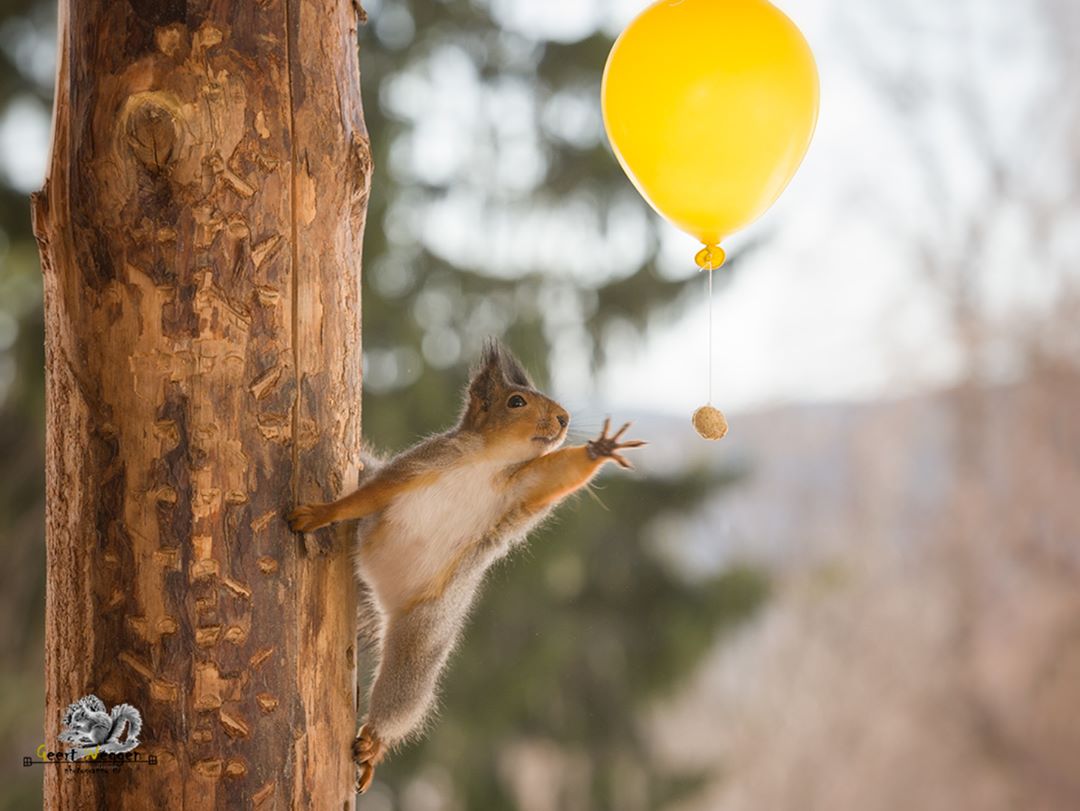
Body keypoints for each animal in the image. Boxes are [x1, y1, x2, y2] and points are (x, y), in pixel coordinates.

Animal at [282, 341, 643, 794]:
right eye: (517, 401)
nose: (564, 418)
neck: (488, 461)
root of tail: (379, 588)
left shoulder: (525, 484)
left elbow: (559, 471)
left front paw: (601, 449)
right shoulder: (423, 461)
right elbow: (372, 493)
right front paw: (321, 514)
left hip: (426, 628)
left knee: (405, 690)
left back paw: (373, 746)